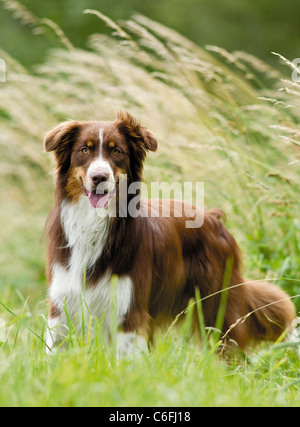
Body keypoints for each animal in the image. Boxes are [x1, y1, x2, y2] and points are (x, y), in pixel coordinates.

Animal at [43, 110, 296, 354]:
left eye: (116, 151)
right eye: (84, 150)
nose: (99, 178)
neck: (94, 220)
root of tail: (213, 217)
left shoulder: (129, 309)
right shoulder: (62, 301)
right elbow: (55, 350)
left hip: (217, 305)